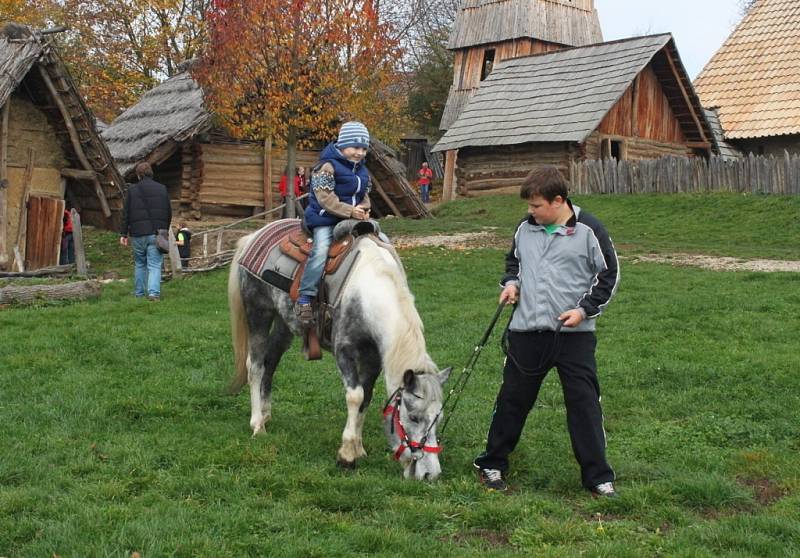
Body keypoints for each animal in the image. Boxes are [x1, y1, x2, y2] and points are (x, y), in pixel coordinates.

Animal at [227, 230, 450, 480]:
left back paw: (266, 415)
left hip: (284, 323)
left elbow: (366, 397)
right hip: (258, 313)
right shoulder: (345, 351)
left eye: (439, 417)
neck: (367, 291)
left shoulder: (373, 360)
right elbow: (355, 396)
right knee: (255, 366)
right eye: (413, 417)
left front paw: (359, 448)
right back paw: (257, 425)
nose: (431, 474)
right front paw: (346, 456)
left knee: (270, 361)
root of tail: (252, 237)